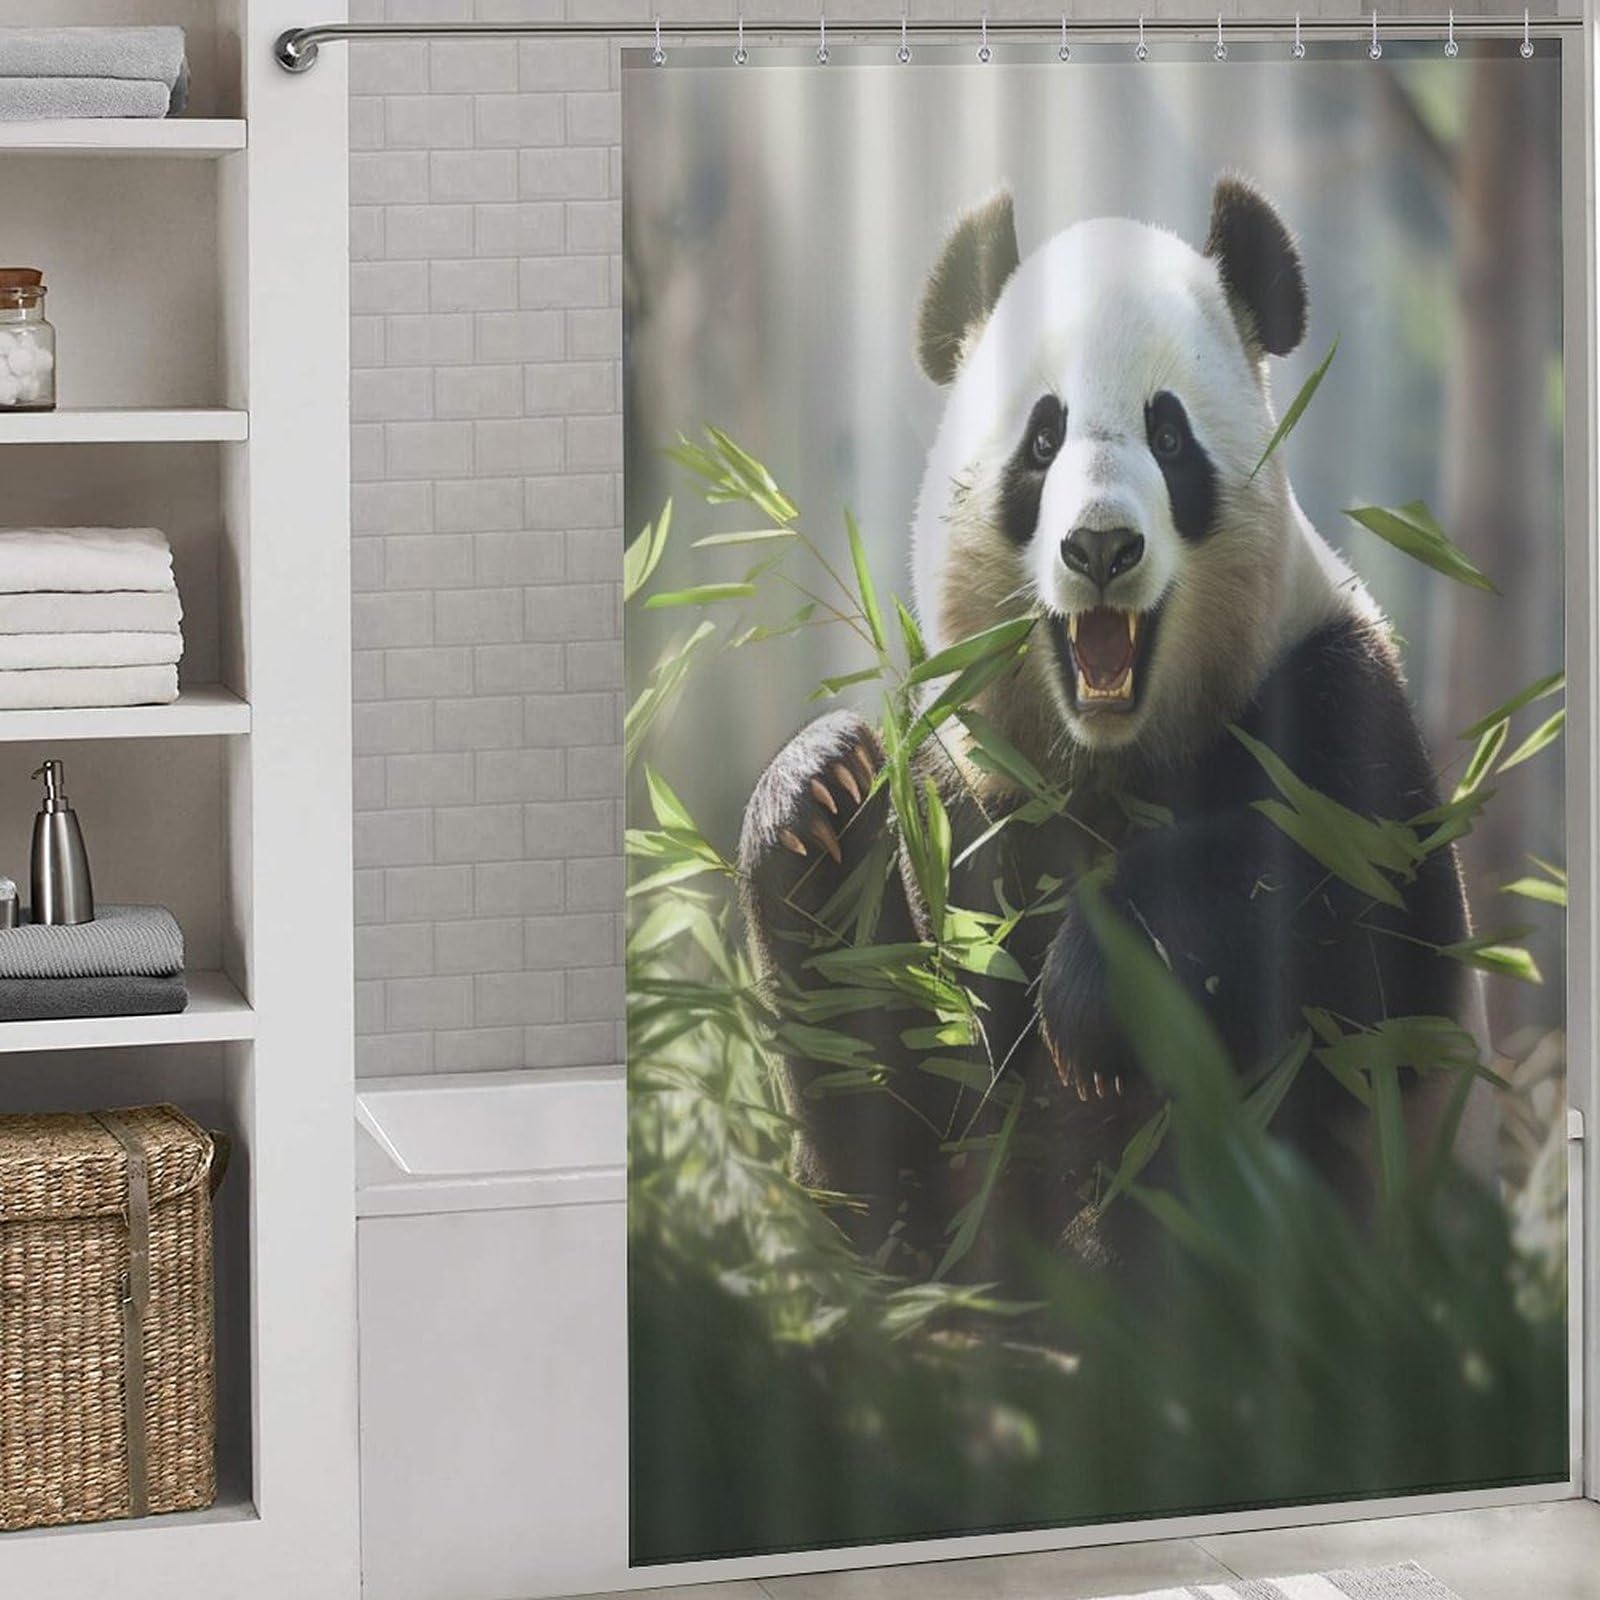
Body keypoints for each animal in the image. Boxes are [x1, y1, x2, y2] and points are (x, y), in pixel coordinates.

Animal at [739, 175, 1482, 1271]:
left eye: (1168, 437)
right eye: (1042, 439)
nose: (1099, 546)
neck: (1104, 760)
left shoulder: (1332, 702)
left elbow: (1345, 924)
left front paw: (1096, 988)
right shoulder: (963, 779)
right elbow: (896, 1033)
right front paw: (816, 789)